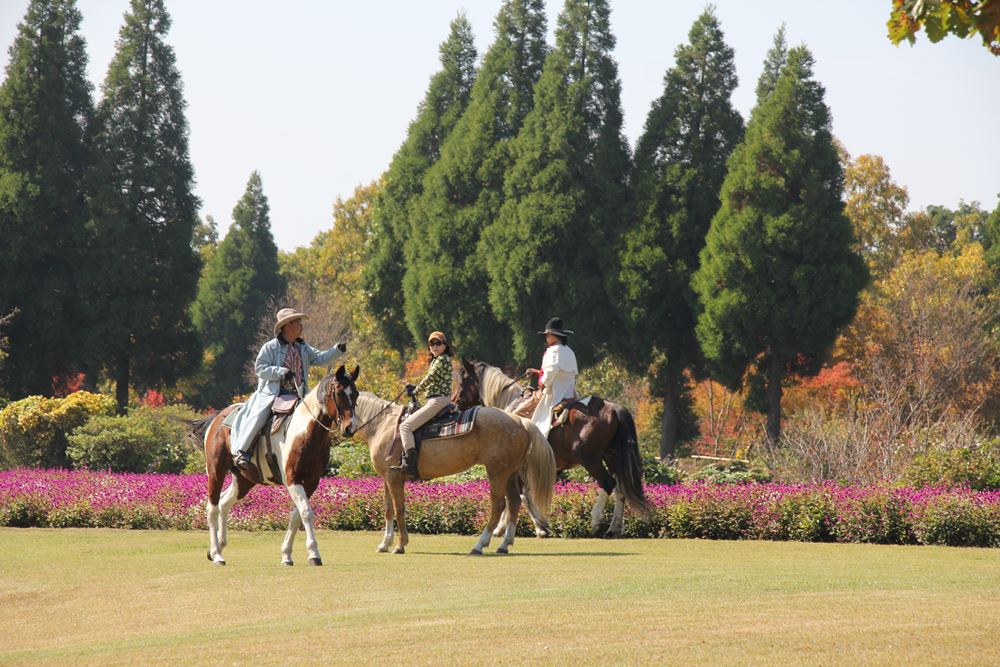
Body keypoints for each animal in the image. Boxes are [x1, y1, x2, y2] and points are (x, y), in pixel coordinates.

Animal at [192, 364, 361, 566]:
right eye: (339, 393)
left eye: (356, 394)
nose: (350, 427)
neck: (304, 432)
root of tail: (219, 418)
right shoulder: (292, 480)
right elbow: (306, 512)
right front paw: (314, 553)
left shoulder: (311, 482)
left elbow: (296, 516)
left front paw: (286, 554)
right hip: (216, 471)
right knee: (212, 508)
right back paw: (217, 554)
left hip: (244, 480)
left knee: (224, 502)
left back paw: (217, 547)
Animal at [350, 390, 556, 555]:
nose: (345, 430)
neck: (383, 424)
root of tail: (520, 421)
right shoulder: (387, 478)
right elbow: (388, 510)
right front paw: (385, 544)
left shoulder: (395, 478)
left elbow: (399, 509)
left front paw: (400, 545)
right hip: (510, 474)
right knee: (514, 502)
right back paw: (504, 544)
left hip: (497, 473)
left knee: (499, 505)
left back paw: (480, 545)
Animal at [468, 360, 651, 538]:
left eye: (464, 378)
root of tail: (613, 408)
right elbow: (518, 495)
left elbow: (520, 496)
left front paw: (539, 526)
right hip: (612, 457)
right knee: (620, 490)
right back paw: (614, 529)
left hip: (590, 460)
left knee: (608, 483)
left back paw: (596, 520)